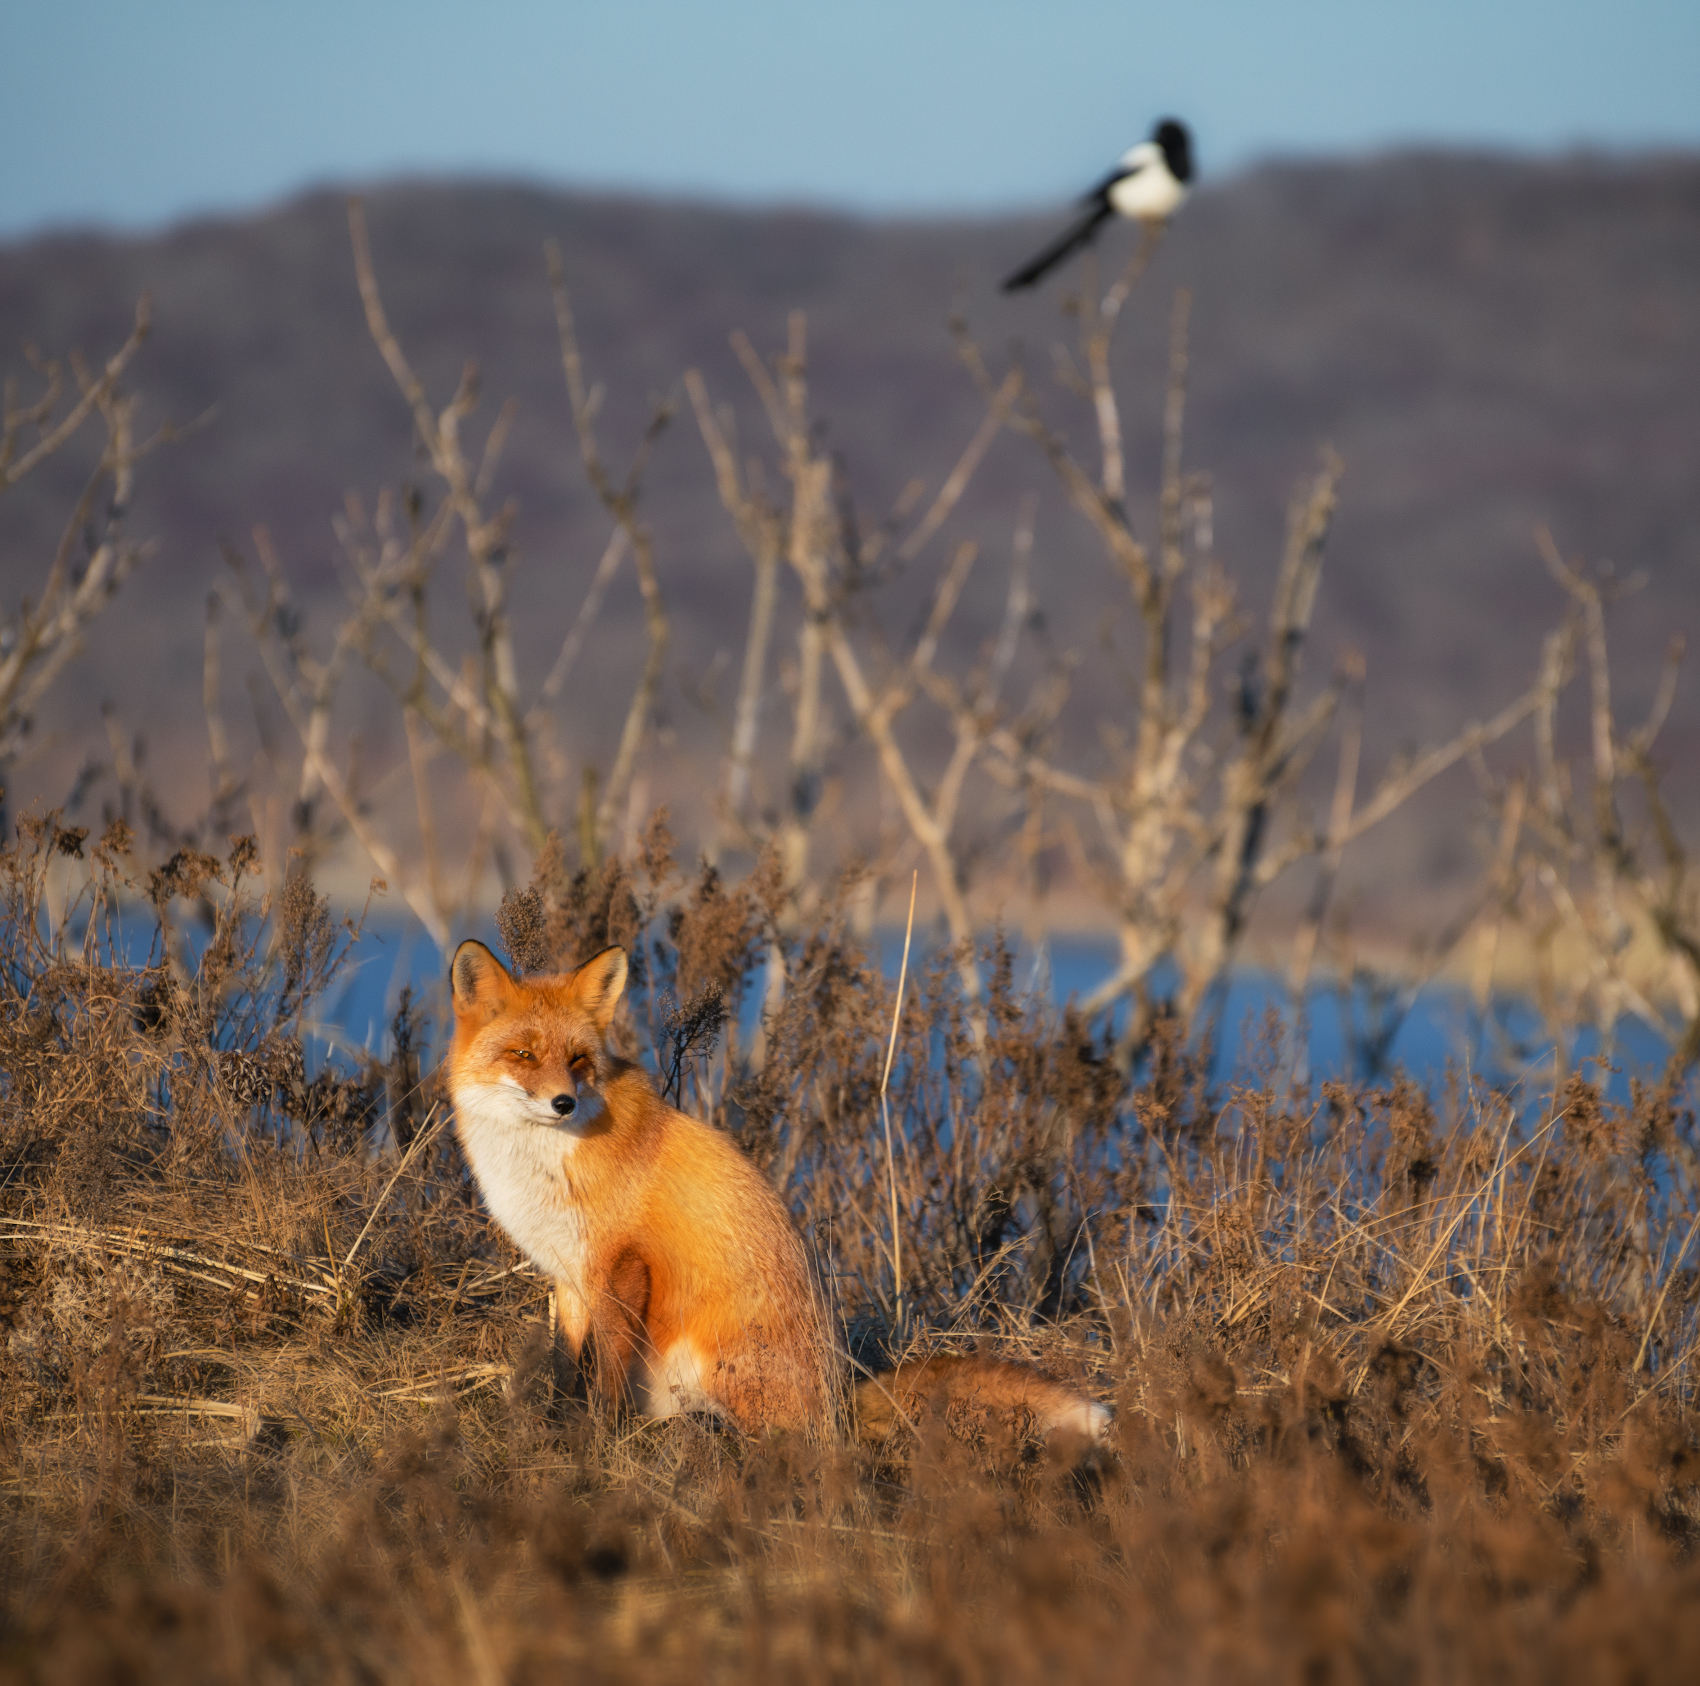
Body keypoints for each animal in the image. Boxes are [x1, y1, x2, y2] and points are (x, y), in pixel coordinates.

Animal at [448, 938, 1115, 1448]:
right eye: (523, 1054)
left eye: (579, 1060)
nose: (562, 1102)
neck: (542, 1163)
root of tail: (838, 1399)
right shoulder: (568, 1273)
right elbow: (565, 1362)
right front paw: (553, 1421)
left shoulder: (622, 1266)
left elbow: (606, 1370)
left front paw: (597, 1435)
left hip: (714, 1361)